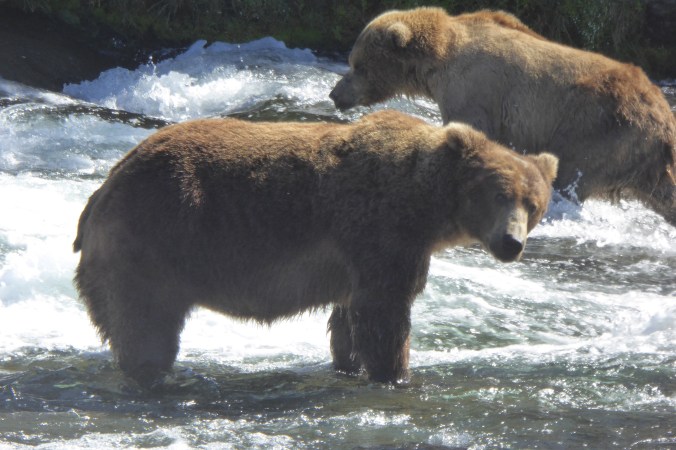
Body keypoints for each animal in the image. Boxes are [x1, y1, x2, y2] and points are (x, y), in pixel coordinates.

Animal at [73, 110, 558, 388]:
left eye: (533, 204)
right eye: (498, 194)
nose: (512, 243)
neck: (428, 207)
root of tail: (104, 186)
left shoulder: (361, 259)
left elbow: (348, 321)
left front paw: (348, 364)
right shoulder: (381, 232)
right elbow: (385, 315)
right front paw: (396, 374)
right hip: (153, 237)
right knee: (146, 325)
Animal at [329, 7, 676, 227]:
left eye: (357, 64)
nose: (335, 93)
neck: (437, 62)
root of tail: (662, 117)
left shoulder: (475, 89)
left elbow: (470, 128)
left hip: (600, 130)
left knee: (571, 176)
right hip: (647, 161)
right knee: (666, 194)